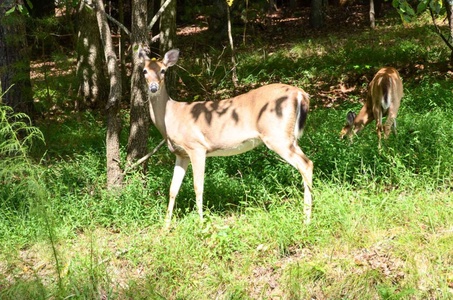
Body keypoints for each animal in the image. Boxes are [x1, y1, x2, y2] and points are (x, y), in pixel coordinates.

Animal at [139, 48, 312, 229]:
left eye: (163, 71)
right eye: (144, 71)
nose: (153, 87)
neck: (171, 117)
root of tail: (300, 93)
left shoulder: (196, 147)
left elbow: (198, 186)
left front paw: (201, 223)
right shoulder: (181, 154)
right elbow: (173, 189)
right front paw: (166, 226)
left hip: (277, 135)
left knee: (306, 164)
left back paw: (307, 220)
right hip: (288, 137)